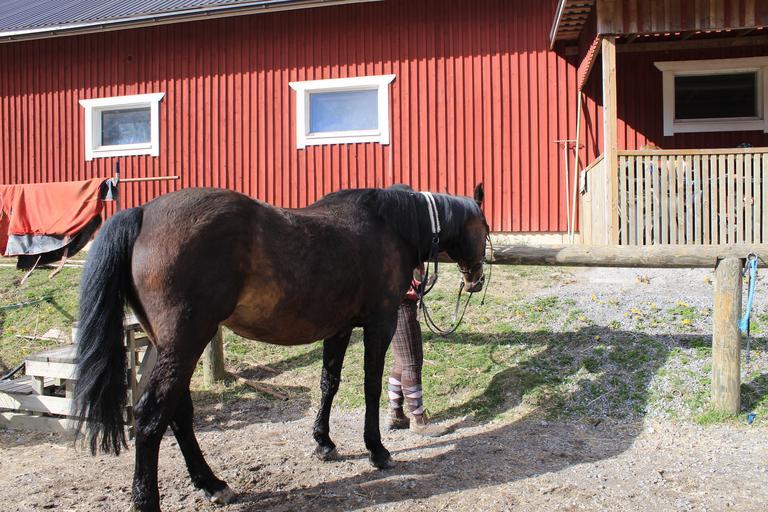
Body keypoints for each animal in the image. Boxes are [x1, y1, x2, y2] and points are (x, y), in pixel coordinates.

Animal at [72, 184, 489, 511]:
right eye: (484, 229)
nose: (477, 280)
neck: (389, 227)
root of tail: (142, 213)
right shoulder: (380, 323)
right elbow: (370, 386)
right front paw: (377, 449)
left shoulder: (339, 329)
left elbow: (329, 383)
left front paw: (323, 442)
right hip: (185, 343)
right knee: (151, 416)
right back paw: (150, 498)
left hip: (171, 347)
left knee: (179, 413)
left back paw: (212, 484)